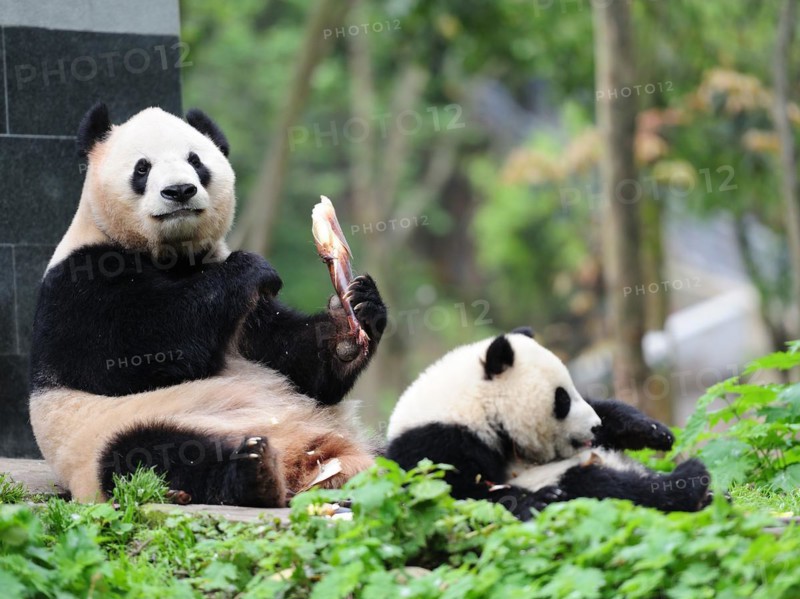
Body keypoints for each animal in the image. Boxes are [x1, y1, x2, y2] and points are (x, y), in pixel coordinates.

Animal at [28, 103, 387, 506]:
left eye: (196, 161)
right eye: (142, 168)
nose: (180, 190)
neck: (175, 257)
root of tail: (310, 461)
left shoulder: (246, 313)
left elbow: (294, 359)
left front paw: (354, 318)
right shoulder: (78, 283)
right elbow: (140, 348)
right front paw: (252, 268)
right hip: (119, 431)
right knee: (152, 454)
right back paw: (253, 474)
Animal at [385, 328, 712, 520]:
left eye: (573, 389)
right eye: (562, 399)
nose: (594, 428)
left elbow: (606, 409)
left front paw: (653, 431)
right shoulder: (435, 445)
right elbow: (458, 495)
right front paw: (538, 500)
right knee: (606, 487)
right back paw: (690, 482)